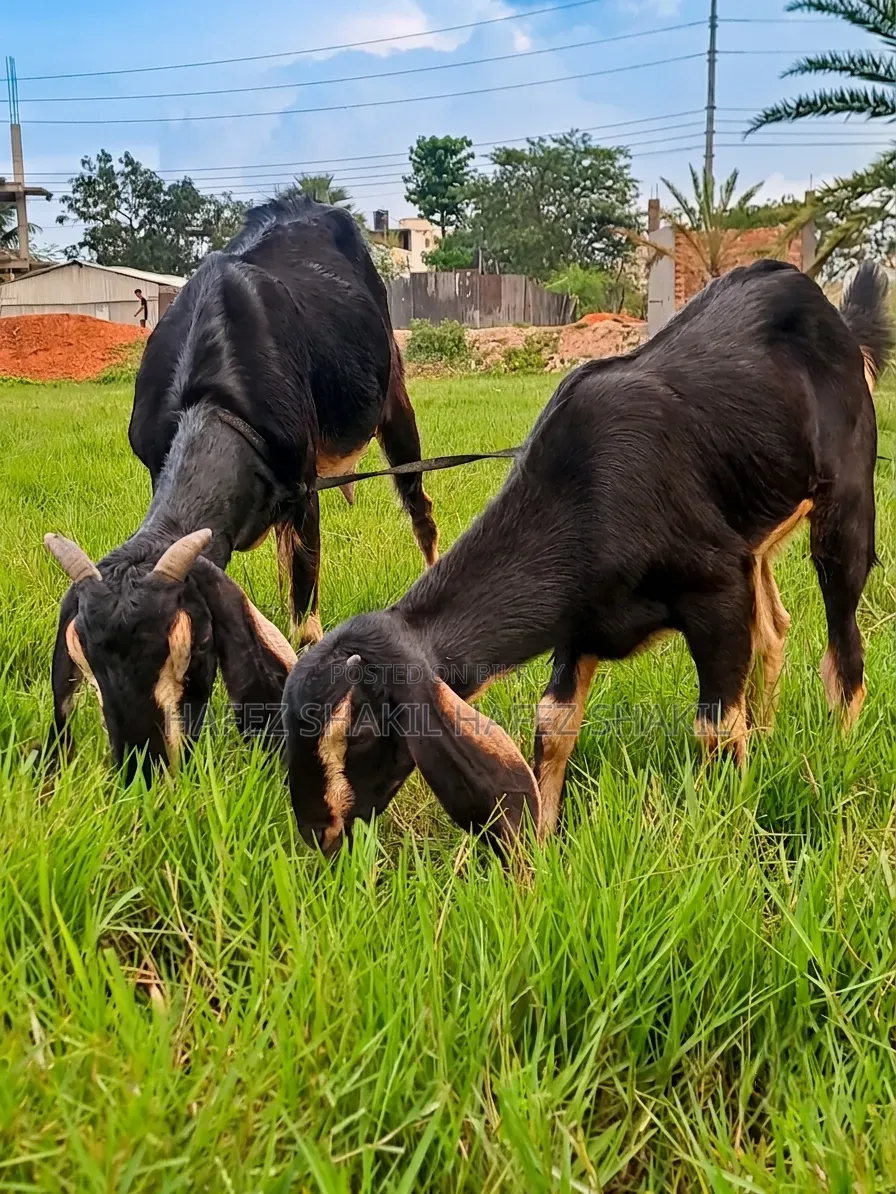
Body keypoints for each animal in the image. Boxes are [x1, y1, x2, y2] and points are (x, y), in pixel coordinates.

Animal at [44, 197, 437, 780]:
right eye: (85, 662)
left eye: (191, 649)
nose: (143, 768)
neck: (212, 400)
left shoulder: (303, 487)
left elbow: (305, 621)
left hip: (393, 395)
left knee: (419, 505)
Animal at [282, 261, 892, 854]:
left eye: (357, 730)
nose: (318, 834)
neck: (586, 492)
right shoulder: (580, 620)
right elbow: (553, 724)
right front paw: (544, 847)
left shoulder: (715, 591)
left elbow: (715, 727)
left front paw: (729, 838)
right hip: (756, 530)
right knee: (774, 627)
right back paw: (767, 737)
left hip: (846, 503)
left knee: (844, 646)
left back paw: (838, 752)